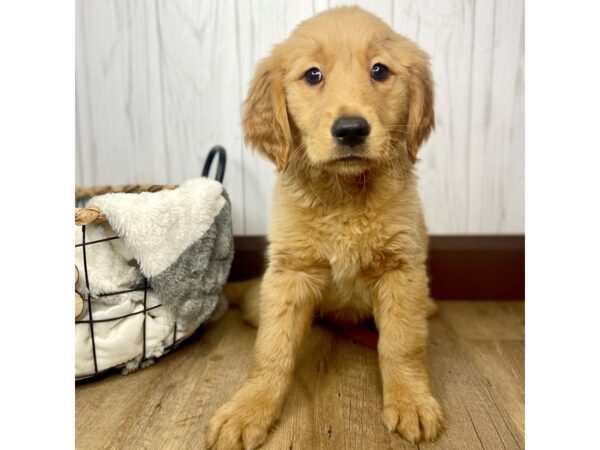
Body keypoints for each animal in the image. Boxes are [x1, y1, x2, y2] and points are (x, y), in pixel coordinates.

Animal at [209, 7, 442, 450]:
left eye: (380, 70)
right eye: (313, 75)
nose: (351, 129)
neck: (345, 194)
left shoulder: (401, 270)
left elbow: (402, 344)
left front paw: (411, 401)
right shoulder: (290, 272)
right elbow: (271, 351)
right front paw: (249, 408)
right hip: (261, 299)